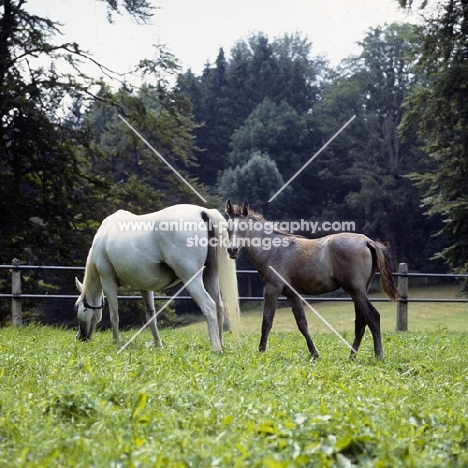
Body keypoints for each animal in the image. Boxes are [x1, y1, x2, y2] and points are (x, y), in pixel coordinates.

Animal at [76, 205, 241, 352]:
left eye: (78, 307)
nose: (80, 338)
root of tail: (203, 212)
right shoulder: (144, 286)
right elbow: (151, 315)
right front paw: (158, 344)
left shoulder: (107, 280)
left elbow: (114, 314)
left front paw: (116, 342)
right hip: (211, 276)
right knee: (219, 306)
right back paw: (221, 344)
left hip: (191, 279)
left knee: (209, 306)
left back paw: (216, 347)